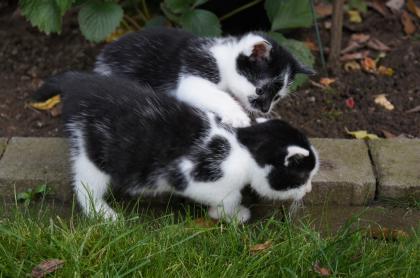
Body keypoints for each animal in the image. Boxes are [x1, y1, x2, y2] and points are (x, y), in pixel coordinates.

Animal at [36, 73, 318, 223]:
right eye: (303, 177)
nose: (310, 190)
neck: (242, 146)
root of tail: (78, 83)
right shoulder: (193, 176)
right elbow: (228, 196)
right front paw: (230, 214)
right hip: (93, 150)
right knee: (85, 186)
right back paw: (103, 214)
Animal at [93, 27, 314, 127]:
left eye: (277, 97)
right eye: (260, 90)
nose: (266, 109)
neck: (223, 59)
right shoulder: (195, 70)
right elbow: (215, 94)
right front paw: (237, 115)